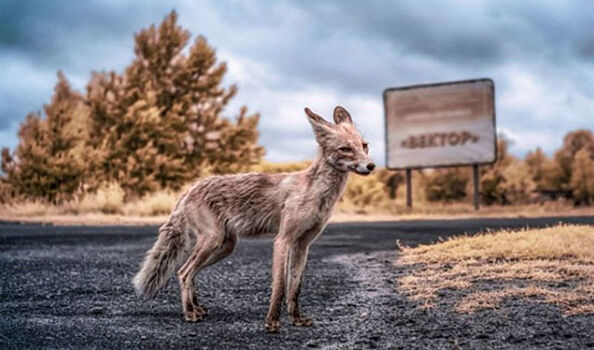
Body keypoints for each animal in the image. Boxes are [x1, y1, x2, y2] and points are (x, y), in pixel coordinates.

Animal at [133, 105, 374, 332]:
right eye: (345, 149)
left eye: (364, 146)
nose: (371, 166)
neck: (317, 194)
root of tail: (191, 188)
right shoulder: (283, 239)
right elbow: (279, 286)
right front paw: (272, 322)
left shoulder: (303, 244)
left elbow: (295, 287)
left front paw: (296, 319)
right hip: (212, 240)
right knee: (183, 272)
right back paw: (189, 313)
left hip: (225, 246)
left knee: (190, 274)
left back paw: (196, 307)